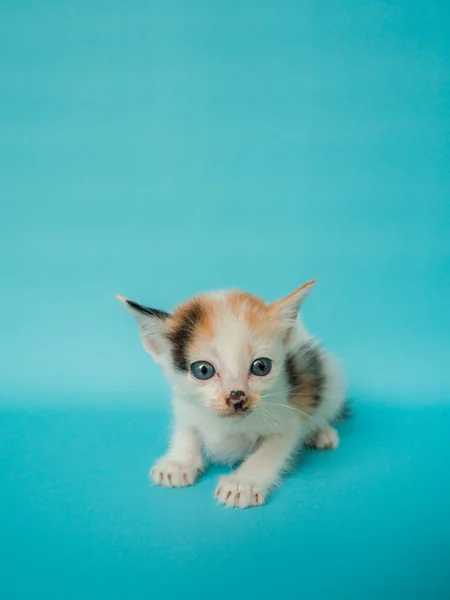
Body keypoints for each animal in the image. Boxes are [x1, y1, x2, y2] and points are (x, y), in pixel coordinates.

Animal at [116, 284, 344, 508]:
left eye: (261, 366)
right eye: (203, 370)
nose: (237, 398)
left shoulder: (288, 413)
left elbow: (271, 449)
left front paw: (243, 483)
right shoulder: (184, 405)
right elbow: (187, 430)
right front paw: (179, 462)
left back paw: (321, 432)